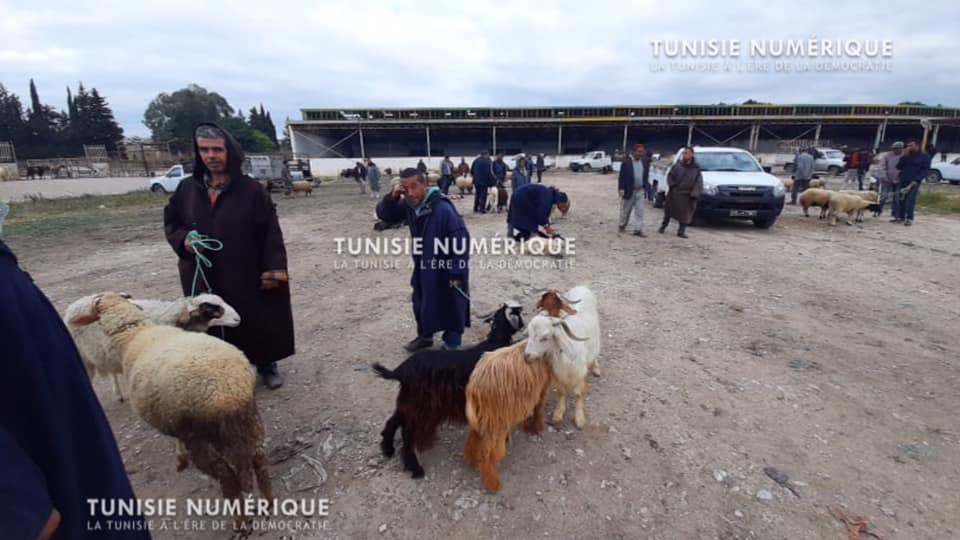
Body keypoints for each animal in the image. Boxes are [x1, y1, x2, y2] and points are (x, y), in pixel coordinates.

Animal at [374, 304, 524, 476]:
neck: (495, 343)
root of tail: (401, 370)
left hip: (410, 401)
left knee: (393, 421)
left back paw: (388, 449)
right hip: (421, 408)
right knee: (407, 435)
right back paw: (415, 468)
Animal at [464, 342, 552, 494]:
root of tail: (473, 387)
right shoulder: (541, 388)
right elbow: (538, 408)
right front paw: (537, 427)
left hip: (483, 415)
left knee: (472, 435)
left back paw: (471, 460)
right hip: (494, 418)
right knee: (487, 451)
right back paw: (493, 483)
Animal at [524, 284, 600, 428]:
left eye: (545, 337)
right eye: (529, 333)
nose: (526, 356)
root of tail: (582, 286)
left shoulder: (579, 372)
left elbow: (578, 394)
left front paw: (579, 418)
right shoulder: (556, 372)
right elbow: (561, 392)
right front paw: (558, 413)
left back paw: (596, 368)